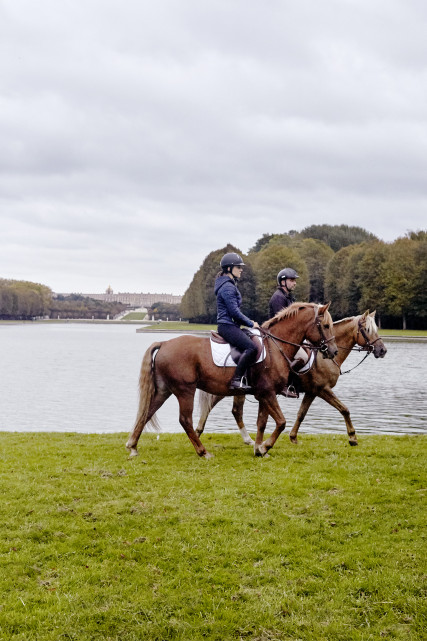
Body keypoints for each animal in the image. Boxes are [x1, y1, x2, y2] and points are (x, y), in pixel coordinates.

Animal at [126, 302, 338, 459]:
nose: (334, 351)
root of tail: (164, 343)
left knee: (147, 412)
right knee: (184, 420)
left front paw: (258, 448)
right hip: (185, 390)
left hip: (164, 390)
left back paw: (133, 446)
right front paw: (264, 447)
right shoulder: (268, 392)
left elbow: (262, 422)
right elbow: (281, 422)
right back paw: (202, 451)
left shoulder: (264, 394)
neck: (276, 346)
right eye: (326, 326)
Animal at [196, 311, 387, 447]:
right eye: (368, 330)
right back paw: (201, 432)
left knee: (232, 410)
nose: (382, 350)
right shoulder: (323, 389)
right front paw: (353, 437)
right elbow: (344, 409)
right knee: (220, 407)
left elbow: (301, 413)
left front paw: (293, 437)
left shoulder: (312, 392)